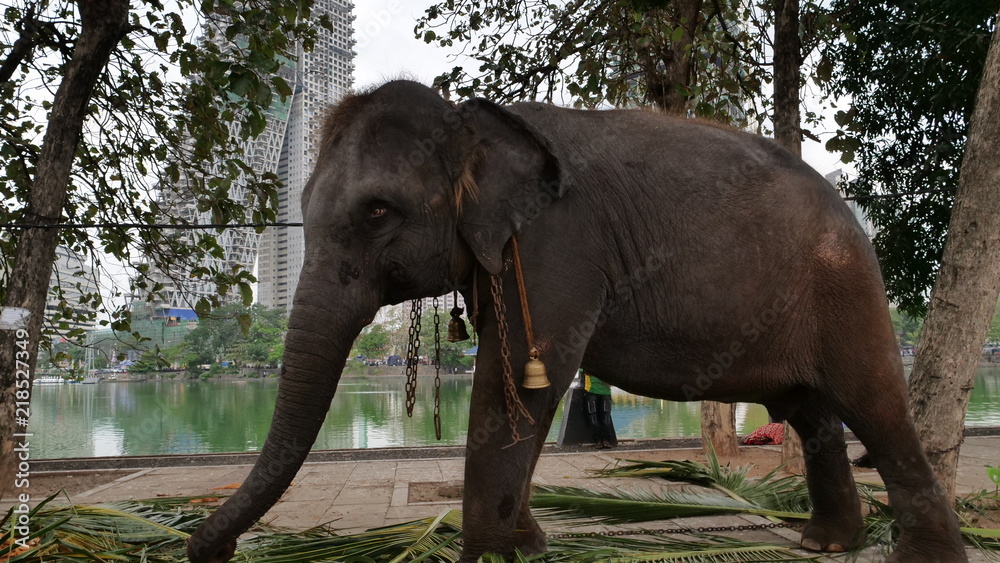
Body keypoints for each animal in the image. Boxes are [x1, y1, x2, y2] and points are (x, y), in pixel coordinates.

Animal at [186, 79, 966, 562]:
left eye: (377, 212)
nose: (209, 549)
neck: (471, 123)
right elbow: (517, 383)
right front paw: (527, 546)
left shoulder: (556, 245)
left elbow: (518, 379)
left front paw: (494, 553)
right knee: (812, 413)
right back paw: (824, 545)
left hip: (847, 287)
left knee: (875, 404)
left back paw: (919, 554)